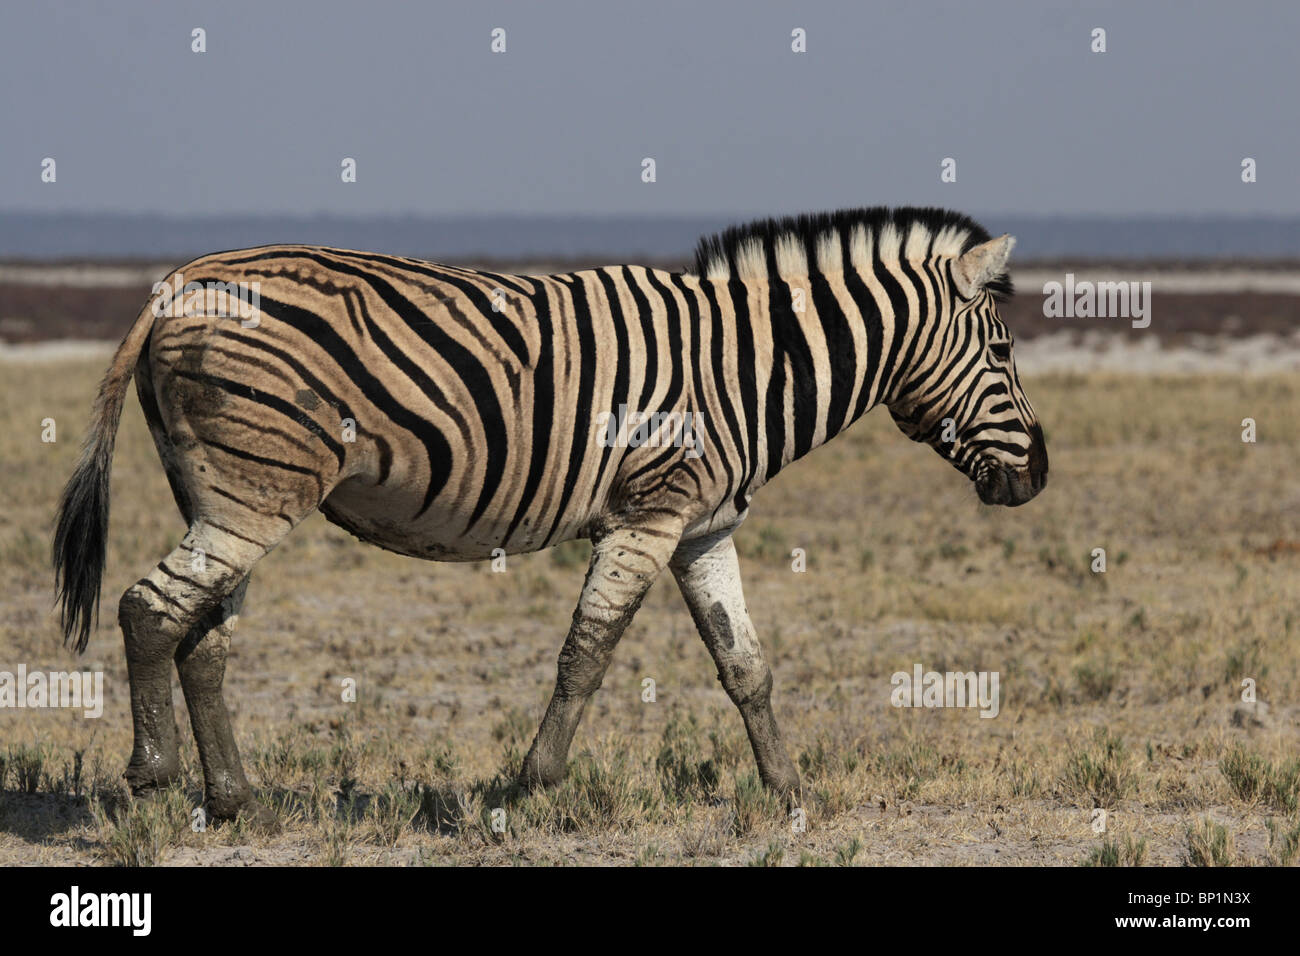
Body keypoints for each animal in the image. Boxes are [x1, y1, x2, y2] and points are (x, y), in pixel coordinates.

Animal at [53, 205, 1045, 827]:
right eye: (1002, 351)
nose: (1037, 477)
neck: (743, 369)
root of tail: (176, 283)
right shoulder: (647, 515)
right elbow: (587, 656)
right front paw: (527, 790)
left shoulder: (702, 528)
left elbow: (746, 668)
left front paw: (790, 795)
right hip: (256, 489)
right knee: (150, 609)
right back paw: (152, 777)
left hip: (226, 490)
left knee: (201, 635)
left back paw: (232, 801)